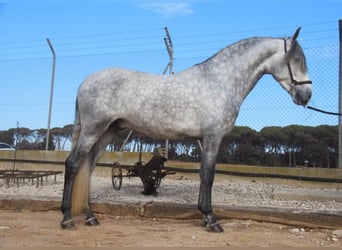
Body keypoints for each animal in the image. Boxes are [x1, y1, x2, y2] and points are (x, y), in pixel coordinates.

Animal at [60, 27, 312, 232]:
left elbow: (202, 174)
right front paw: (212, 220)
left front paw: (204, 216)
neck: (219, 82)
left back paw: (91, 217)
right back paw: (67, 219)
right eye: (297, 59)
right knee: (73, 164)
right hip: (93, 130)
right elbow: (208, 176)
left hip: (107, 132)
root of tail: (84, 83)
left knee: (88, 168)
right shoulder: (212, 137)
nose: (306, 96)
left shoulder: (205, 139)